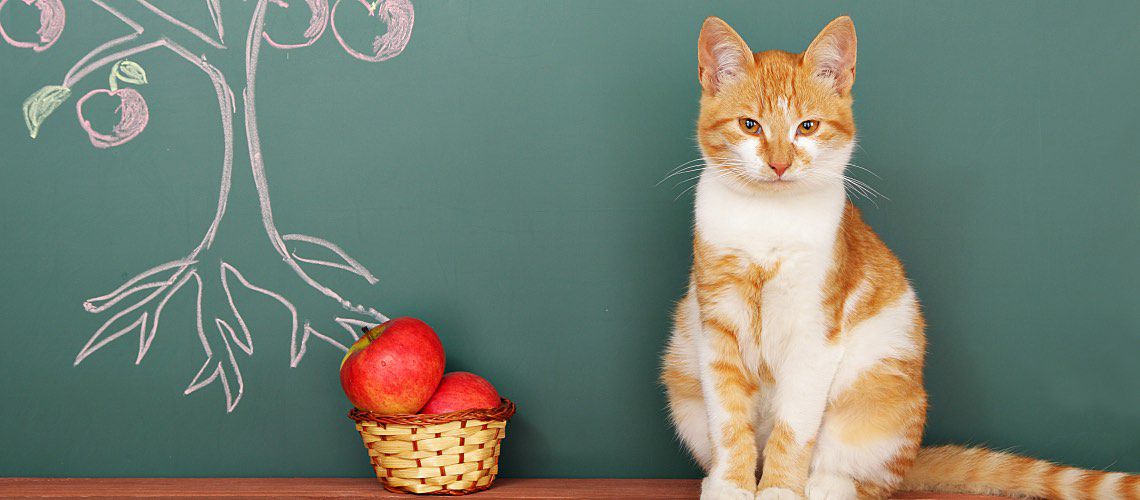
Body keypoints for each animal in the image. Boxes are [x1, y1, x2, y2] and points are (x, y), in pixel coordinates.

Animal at [661, 15, 1140, 500]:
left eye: (807, 127)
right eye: (750, 125)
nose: (779, 164)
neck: (769, 221)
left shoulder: (814, 332)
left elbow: (793, 430)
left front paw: (779, 489)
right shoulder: (716, 326)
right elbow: (728, 422)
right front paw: (732, 486)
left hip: (876, 398)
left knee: (866, 479)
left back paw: (823, 485)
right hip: (684, 382)